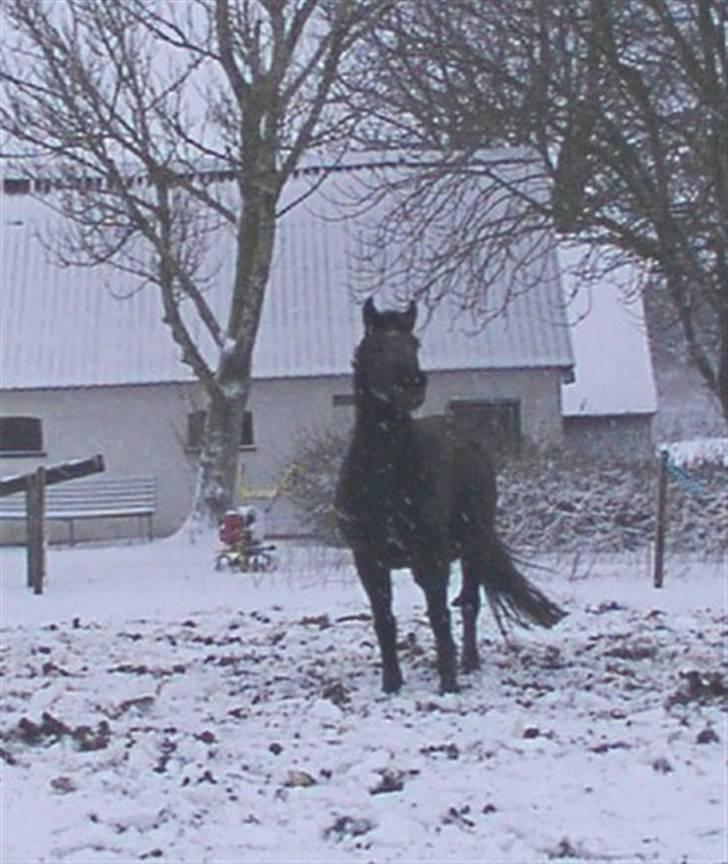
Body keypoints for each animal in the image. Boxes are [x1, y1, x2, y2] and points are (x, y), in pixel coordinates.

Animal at [336, 298, 568, 696]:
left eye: (414, 343)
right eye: (376, 346)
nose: (412, 384)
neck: (384, 476)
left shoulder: (432, 558)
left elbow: (440, 615)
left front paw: (448, 682)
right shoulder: (368, 560)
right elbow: (384, 619)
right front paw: (391, 683)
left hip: (473, 547)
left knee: (470, 604)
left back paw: (468, 663)